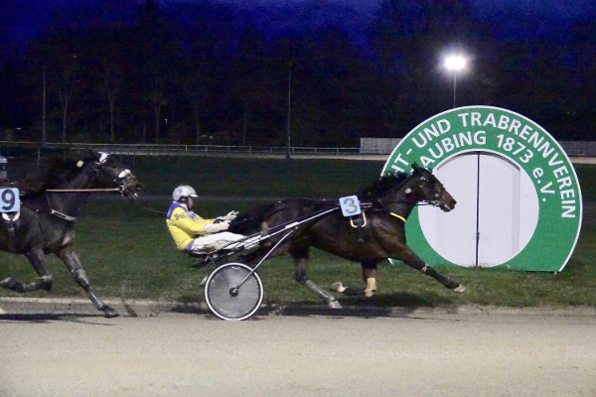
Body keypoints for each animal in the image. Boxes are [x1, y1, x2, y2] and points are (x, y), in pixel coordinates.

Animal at [0, 150, 142, 318]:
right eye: (113, 165)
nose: (136, 185)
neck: (51, 208)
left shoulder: (64, 248)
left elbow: (81, 277)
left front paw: (105, 307)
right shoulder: (32, 249)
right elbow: (47, 280)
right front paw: (10, 283)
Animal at [228, 162, 466, 308]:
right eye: (434, 183)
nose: (452, 201)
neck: (385, 212)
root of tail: (275, 206)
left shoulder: (369, 258)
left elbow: (370, 289)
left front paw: (339, 288)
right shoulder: (398, 249)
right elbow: (426, 267)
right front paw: (456, 286)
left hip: (299, 245)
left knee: (300, 276)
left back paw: (330, 300)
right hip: (278, 245)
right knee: (246, 261)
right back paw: (232, 287)